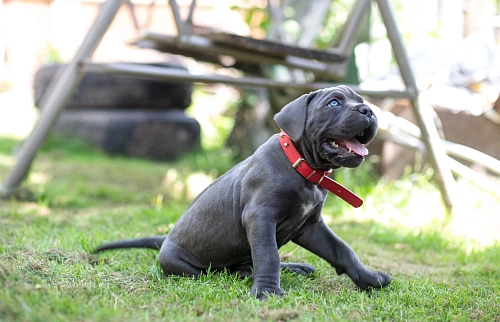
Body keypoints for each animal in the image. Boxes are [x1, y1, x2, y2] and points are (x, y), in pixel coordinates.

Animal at [94, 85, 390, 300]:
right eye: (334, 103)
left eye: (360, 100)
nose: (368, 110)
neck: (302, 167)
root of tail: (165, 239)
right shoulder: (260, 217)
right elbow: (268, 255)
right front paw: (268, 291)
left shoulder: (311, 226)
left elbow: (341, 249)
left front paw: (369, 278)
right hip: (181, 263)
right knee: (231, 269)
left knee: (249, 263)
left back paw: (294, 268)